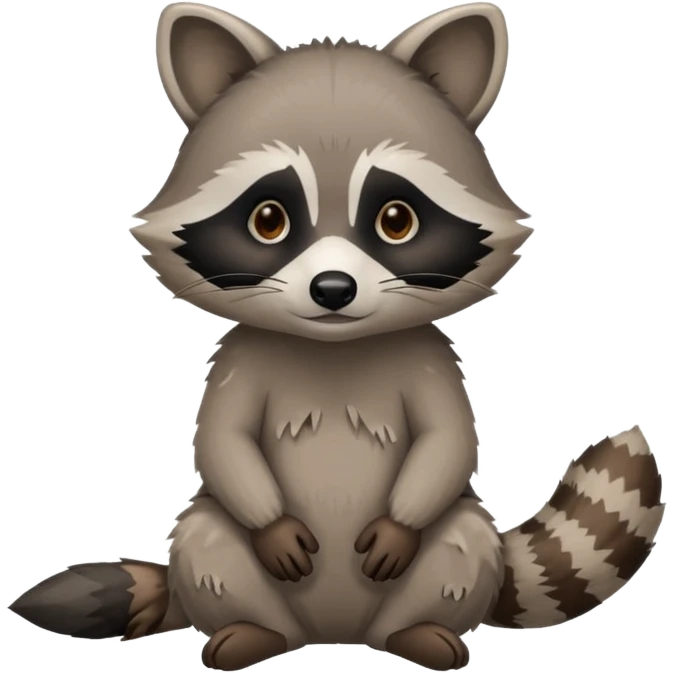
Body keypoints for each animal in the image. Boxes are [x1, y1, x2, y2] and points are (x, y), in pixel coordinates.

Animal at [9, 3, 665, 672]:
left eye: (396, 219)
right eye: (268, 219)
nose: (332, 289)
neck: (334, 350)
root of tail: (336, 632)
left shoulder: (427, 357)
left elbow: (449, 439)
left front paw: (403, 520)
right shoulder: (242, 356)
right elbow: (222, 439)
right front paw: (268, 520)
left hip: (446, 559)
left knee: (460, 538)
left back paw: (419, 632)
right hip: (228, 563)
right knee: (206, 537)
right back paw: (252, 631)